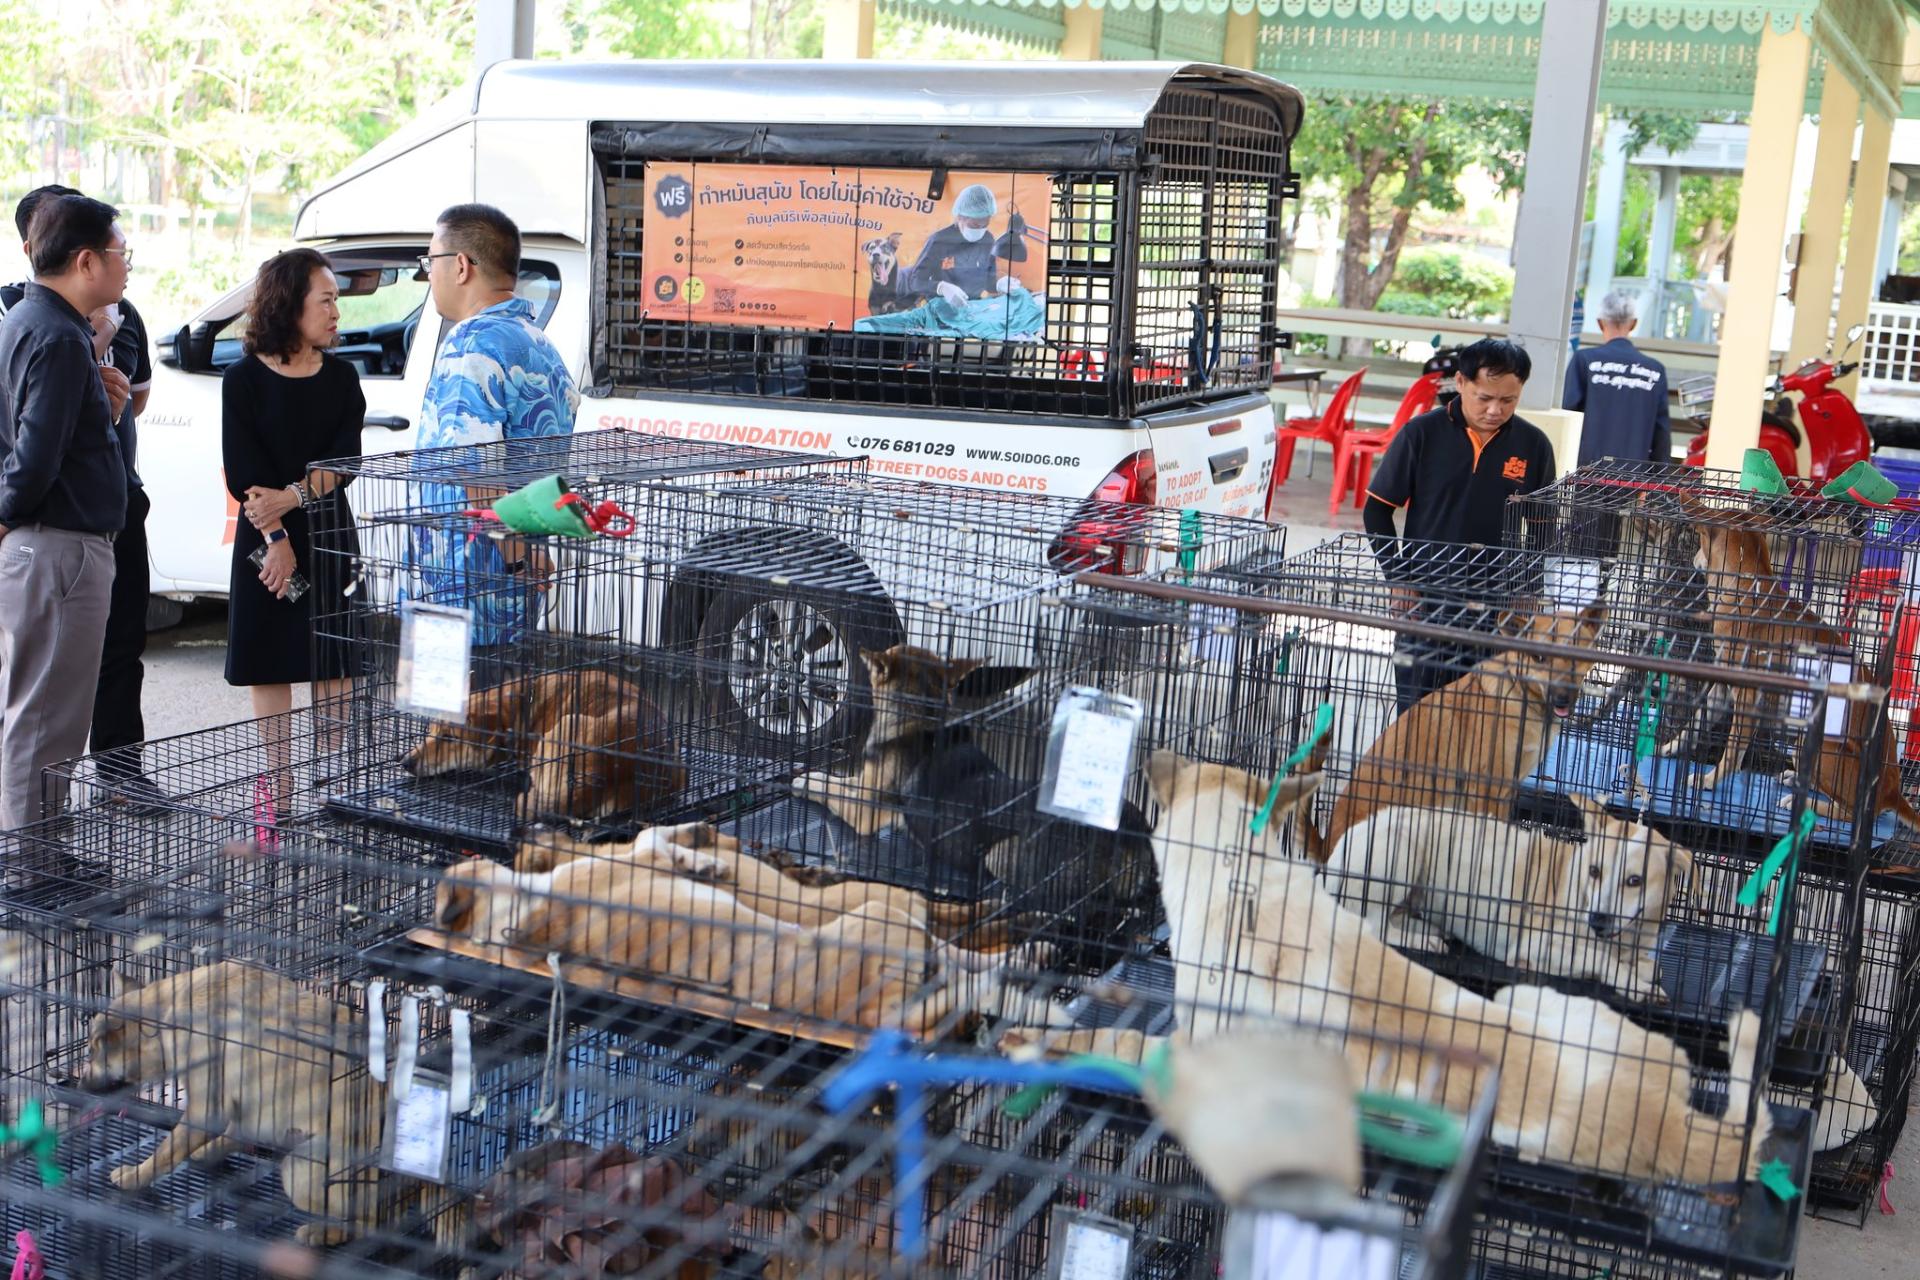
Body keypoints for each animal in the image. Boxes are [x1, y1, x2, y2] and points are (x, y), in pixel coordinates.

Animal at [81, 960, 399, 1245]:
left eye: (92, 1052)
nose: (81, 1081)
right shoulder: (253, 1112)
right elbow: (229, 1135)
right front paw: (207, 1151)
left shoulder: (206, 1109)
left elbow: (166, 1152)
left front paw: (136, 1175)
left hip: (299, 1170)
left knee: (366, 1225)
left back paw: (319, 1233)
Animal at [435, 824, 1035, 1035]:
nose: (522, 831)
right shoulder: (639, 859)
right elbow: (656, 838)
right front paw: (701, 857)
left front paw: (704, 847)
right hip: (889, 917)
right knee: (962, 954)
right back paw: (1021, 946)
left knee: (963, 966)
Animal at [793, 645, 1158, 937]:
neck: (920, 719)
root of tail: (1129, 836)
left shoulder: (864, 809)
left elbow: (830, 784)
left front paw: (803, 778)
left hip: (1001, 854)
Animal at [1310, 604, 1608, 857]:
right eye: (1539, 657)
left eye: (1576, 656)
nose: (1562, 699)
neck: (1521, 692)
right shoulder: (1484, 790)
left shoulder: (1506, 790)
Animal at [1322, 796, 1693, 999]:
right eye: (1595, 871)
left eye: (1635, 880)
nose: (1597, 920)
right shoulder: (1533, 944)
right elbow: (1598, 957)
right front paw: (1634, 985)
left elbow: (1643, 963)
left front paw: (1641, 968)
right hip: (1402, 846)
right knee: (1372, 925)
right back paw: (1421, 940)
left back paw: (1428, 930)